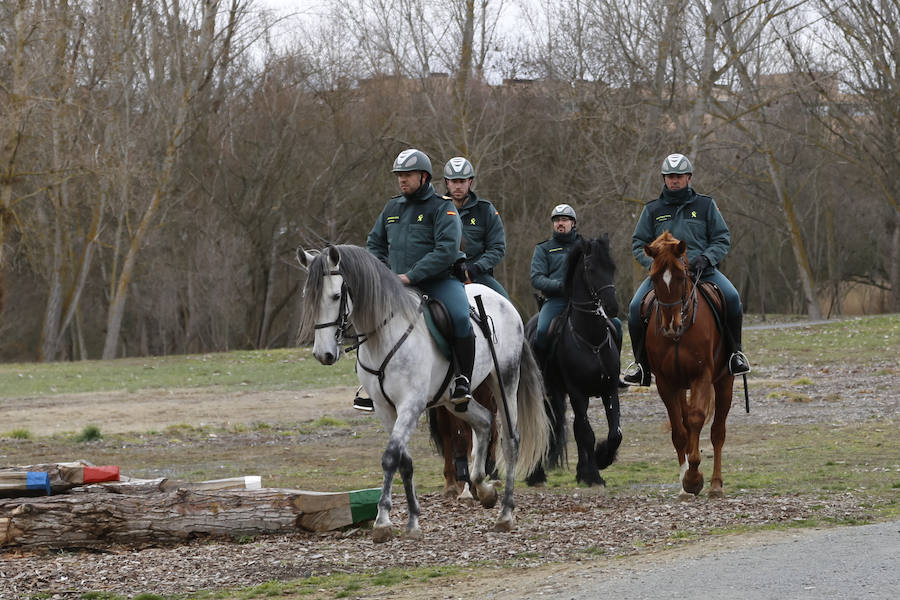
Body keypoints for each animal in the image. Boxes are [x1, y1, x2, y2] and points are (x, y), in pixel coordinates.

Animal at [524, 236, 624, 488]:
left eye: (612, 268)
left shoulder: (609, 390)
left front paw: (601, 460)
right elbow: (586, 434)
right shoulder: (578, 393)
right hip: (547, 393)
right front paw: (594, 475)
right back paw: (536, 475)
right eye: (590, 268)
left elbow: (614, 433)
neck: (592, 340)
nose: (612, 307)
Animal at [644, 232, 736, 500]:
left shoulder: (701, 376)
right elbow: (679, 431)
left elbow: (696, 420)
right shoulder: (666, 383)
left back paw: (716, 484)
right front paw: (685, 482)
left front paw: (694, 478)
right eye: (654, 277)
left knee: (717, 432)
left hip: (725, 382)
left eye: (680, 276)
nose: (671, 325)